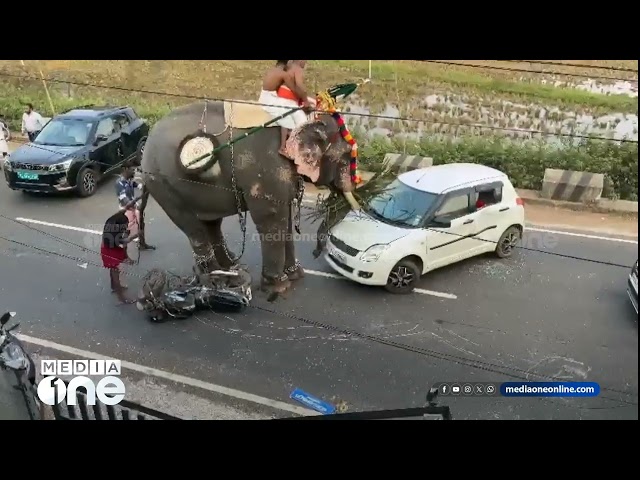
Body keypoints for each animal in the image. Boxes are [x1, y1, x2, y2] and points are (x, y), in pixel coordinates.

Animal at [140, 100, 360, 298]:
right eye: (347, 156)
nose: (316, 254)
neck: (301, 122)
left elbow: (286, 217)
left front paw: (296, 276)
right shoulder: (267, 171)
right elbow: (271, 217)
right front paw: (279, 287)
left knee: (211, 223)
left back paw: (230, 267)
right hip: (163, 184)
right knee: (192, 226)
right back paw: (216, 278)